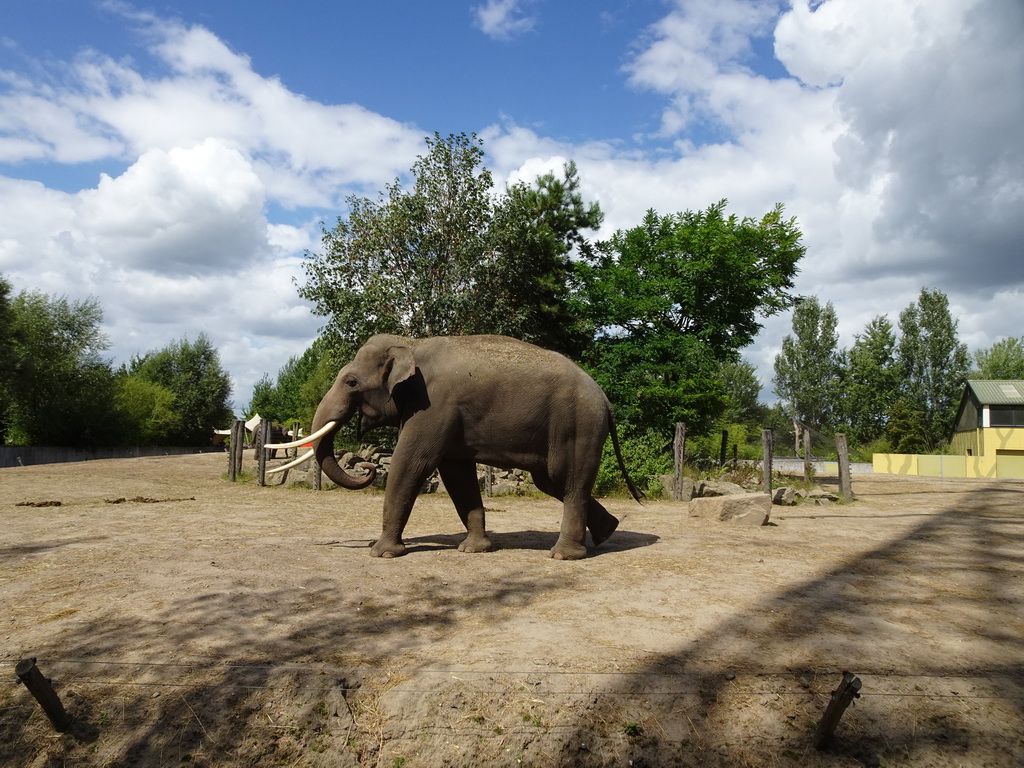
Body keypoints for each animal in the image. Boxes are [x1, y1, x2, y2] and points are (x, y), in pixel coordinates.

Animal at [299, 335, 638, 561]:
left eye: (351, 382)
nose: (366, 465)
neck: (411, 344)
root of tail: (605, 400)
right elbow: (456, 475)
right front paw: (474, 549)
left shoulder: (432, 405)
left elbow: (412, 463)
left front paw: (382, 553)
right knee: (553, 482)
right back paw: (607, 532)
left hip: (578, 425)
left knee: (568, 480)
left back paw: (563, 555)